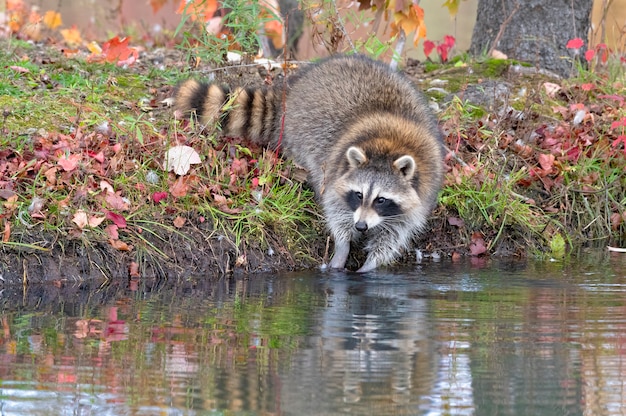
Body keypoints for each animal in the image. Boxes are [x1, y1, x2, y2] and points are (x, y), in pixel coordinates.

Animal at [173, 53, 442, 272]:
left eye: (382, 200)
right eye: (358, 194)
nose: (361, 226)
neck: (387, 147)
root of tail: (297, 85)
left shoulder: (421, 192)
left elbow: (394, 233)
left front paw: (371, 265)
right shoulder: (335, 171)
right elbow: (336, 211)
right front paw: (343, 246)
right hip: (300, 130)